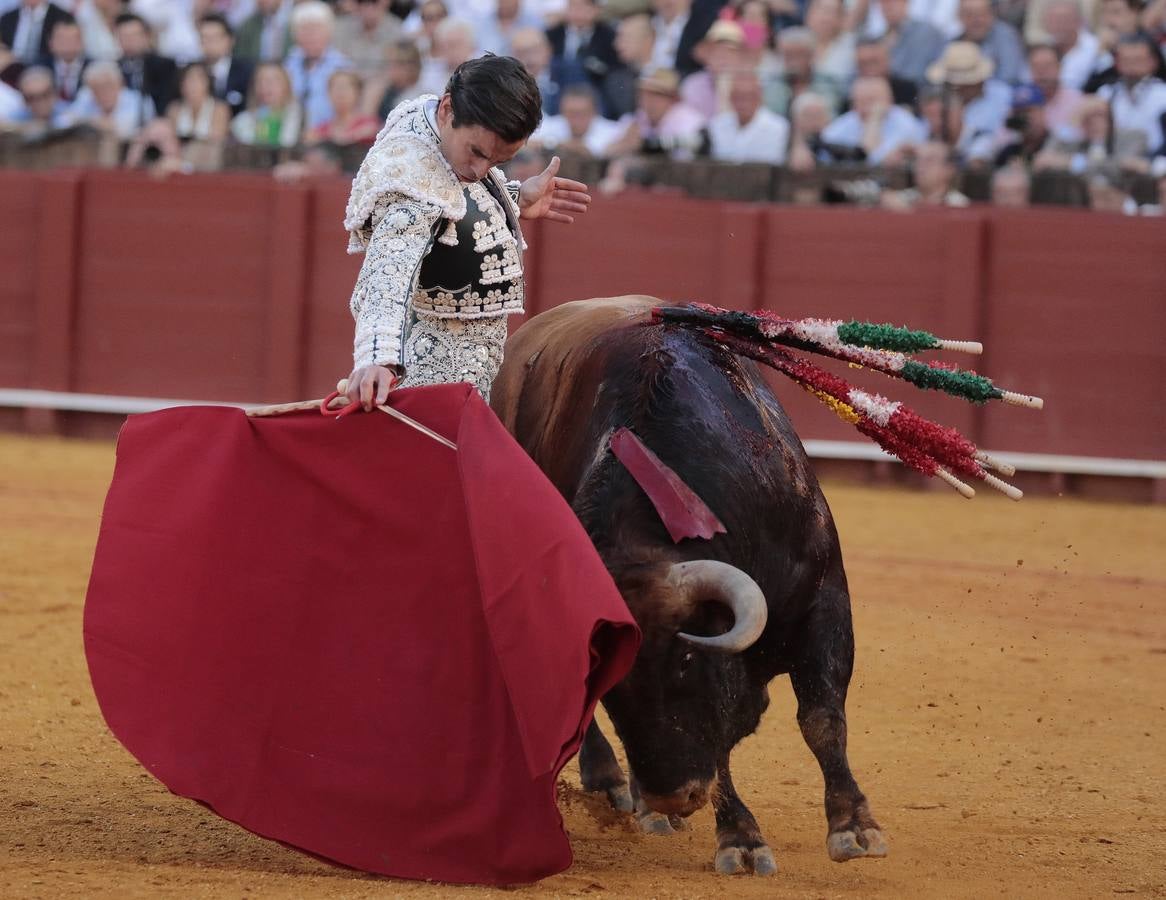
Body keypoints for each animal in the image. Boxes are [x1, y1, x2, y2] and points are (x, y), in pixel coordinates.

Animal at [487, 298, 886, 876]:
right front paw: (740, 838)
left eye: (685, 661)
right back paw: (613, 785)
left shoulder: (824, 599)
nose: (670, 797)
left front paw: (854, 827)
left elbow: (822, 717)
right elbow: (718, 743)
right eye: (607, 684)